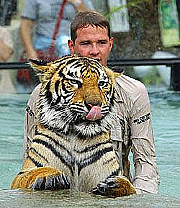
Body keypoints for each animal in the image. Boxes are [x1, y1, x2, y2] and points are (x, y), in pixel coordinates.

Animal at [11, 54, 136, 197]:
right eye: (74, 82)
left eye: (102, 84)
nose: (95, 104)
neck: (77, 137)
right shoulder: (22, 175)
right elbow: (33, 173)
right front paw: (51, 175)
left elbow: (130, 187)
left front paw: (114, 184)